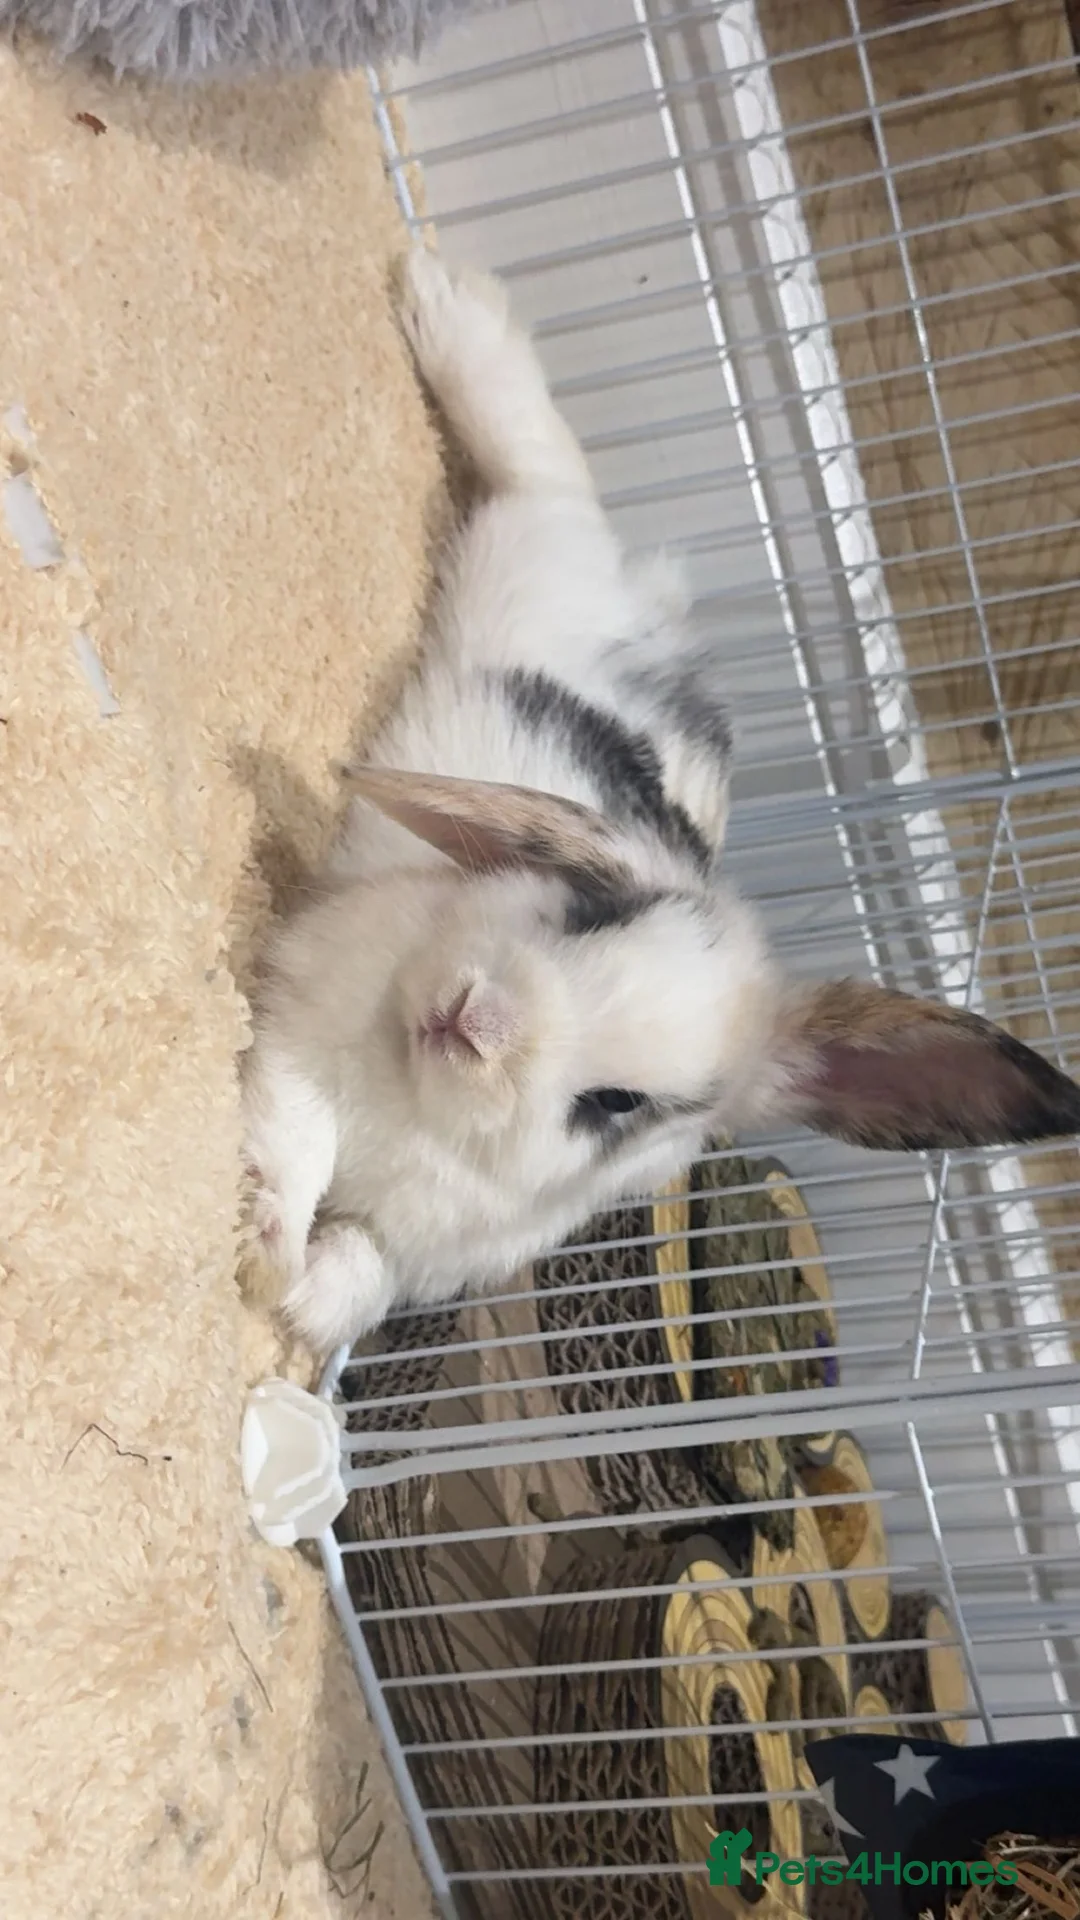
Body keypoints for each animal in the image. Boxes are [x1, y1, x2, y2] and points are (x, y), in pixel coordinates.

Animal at [243, 247, 1080, 1355]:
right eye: (596, 912)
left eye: (617, 1103)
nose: (478, 1021)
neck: (411, 1094)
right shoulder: (298, 1029)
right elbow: (299, 1136)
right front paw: (262, 1244)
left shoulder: (416, 1250)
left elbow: (361, 1268)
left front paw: (299, 1303)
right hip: (529, 537)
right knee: (538, 459)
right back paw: (446, 298)